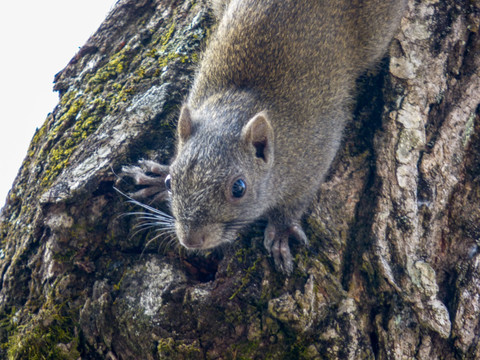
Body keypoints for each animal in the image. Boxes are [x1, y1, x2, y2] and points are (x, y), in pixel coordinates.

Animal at [122, 0, 406, 272]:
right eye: (171, 182)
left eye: (239, 188)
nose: (191, 240)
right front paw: (154, 177)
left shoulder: (316, 154)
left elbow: (298, 198)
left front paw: (281, 230)